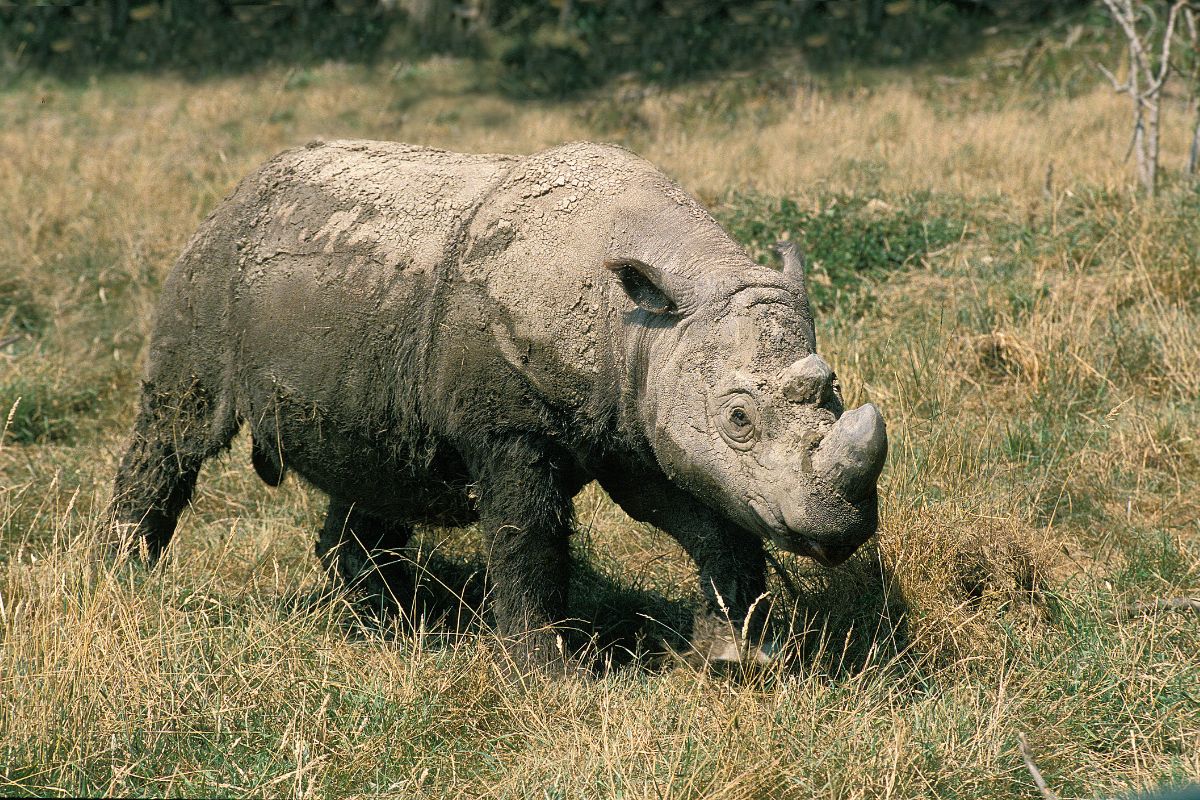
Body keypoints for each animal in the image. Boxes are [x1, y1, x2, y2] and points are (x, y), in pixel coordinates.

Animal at [110, 139, 883, 671]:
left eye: (834, 393)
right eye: (739, 419)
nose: (839, 529)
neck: (648, 313)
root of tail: (238, 190)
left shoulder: (639, 414)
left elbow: (710, 518)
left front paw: (735, 664)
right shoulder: (512, 425)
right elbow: (528, 532)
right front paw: (547, 672)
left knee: (373, 460)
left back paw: (384, 623)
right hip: (212, 270)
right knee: (178, 426)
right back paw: (124, 580)